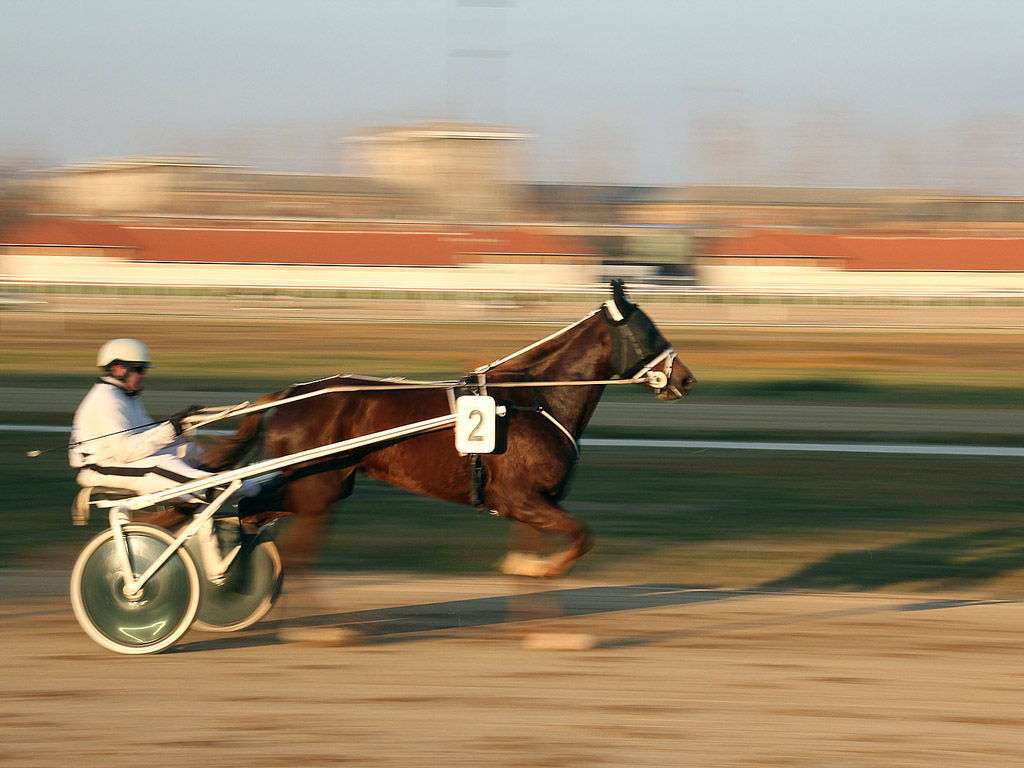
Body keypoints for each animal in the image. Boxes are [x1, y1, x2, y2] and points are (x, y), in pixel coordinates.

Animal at [199, 280, 696, 581]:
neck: (536, 398)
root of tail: (290, 393)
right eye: (649, 331)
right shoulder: (520, 499)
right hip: (317, 485)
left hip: (324, 485)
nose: (687, 379)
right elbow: (581, 537)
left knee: (252, 512)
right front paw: (541, 570)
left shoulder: (533, 503)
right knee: (262, 520)